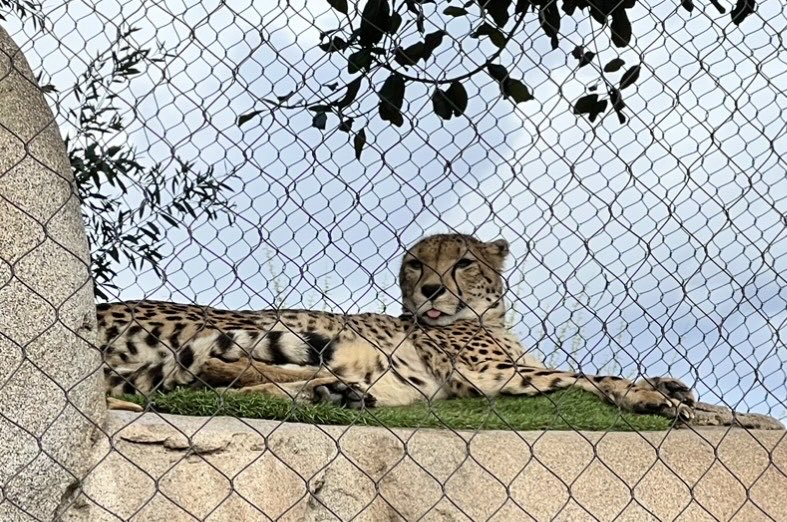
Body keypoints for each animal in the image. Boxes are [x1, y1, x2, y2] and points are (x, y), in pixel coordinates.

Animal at [98, 232, 696, 418]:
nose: (430, 289)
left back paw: (337, 393)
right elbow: (585, 375)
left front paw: (669, 385)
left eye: (463, 262)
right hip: (242, 328)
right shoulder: (489, 377)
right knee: (202, 377)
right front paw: (649, 396)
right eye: (415, 263)